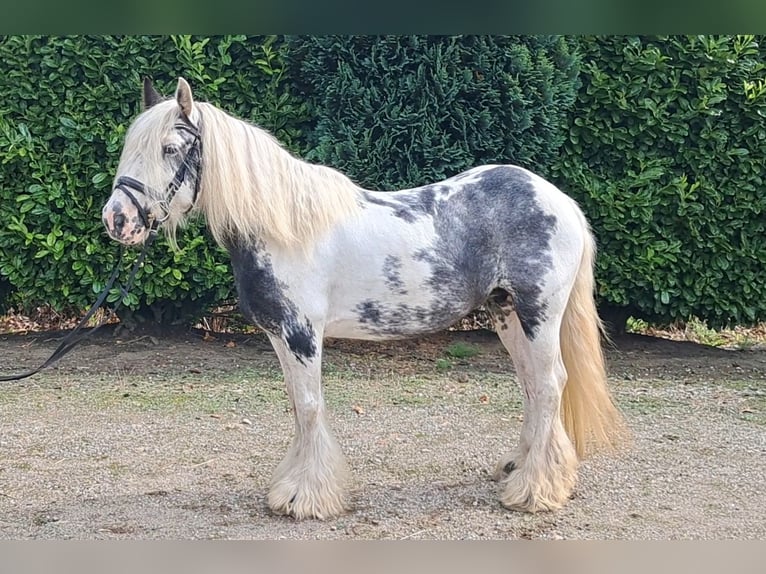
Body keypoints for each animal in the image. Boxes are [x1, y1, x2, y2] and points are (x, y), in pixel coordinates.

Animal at [103, 76, 632, 520]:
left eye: (170, 148)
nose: (117, 220)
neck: (284, 228)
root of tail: (560, 201)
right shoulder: (279, 335)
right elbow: (297, 406)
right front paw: (292, 489)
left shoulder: (301, 335)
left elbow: (310, 406)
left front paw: (305, 498)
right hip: (506, 314)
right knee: (532, 386)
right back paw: (519, 469)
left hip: (539, 313)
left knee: (549, 384)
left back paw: (534, 491)